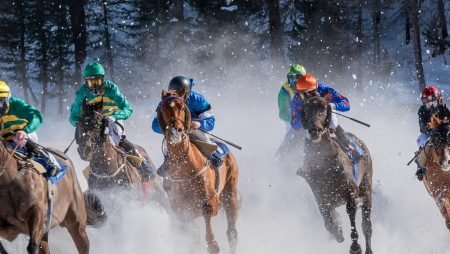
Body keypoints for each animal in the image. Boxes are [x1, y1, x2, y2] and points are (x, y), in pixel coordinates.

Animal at [156, 91, 239, 254]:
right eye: (162, 108)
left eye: (182, 107)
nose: (175, 131)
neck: (185, 170)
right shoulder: (180, 210)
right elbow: (191, 234)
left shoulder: (212, 201)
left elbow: (208, 222)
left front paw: (213, 244)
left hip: (230, 192)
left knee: (232, 232)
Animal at [298, 95, 372, 254]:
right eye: (306, 110)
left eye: (324, 109)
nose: (315, 129)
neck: (324, 165)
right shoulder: (321, 197)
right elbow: (328, 221)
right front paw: (338, 232)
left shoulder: (351, 192)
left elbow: (351, 214)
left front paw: (355, 247)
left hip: (366, 188)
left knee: (367, 226)